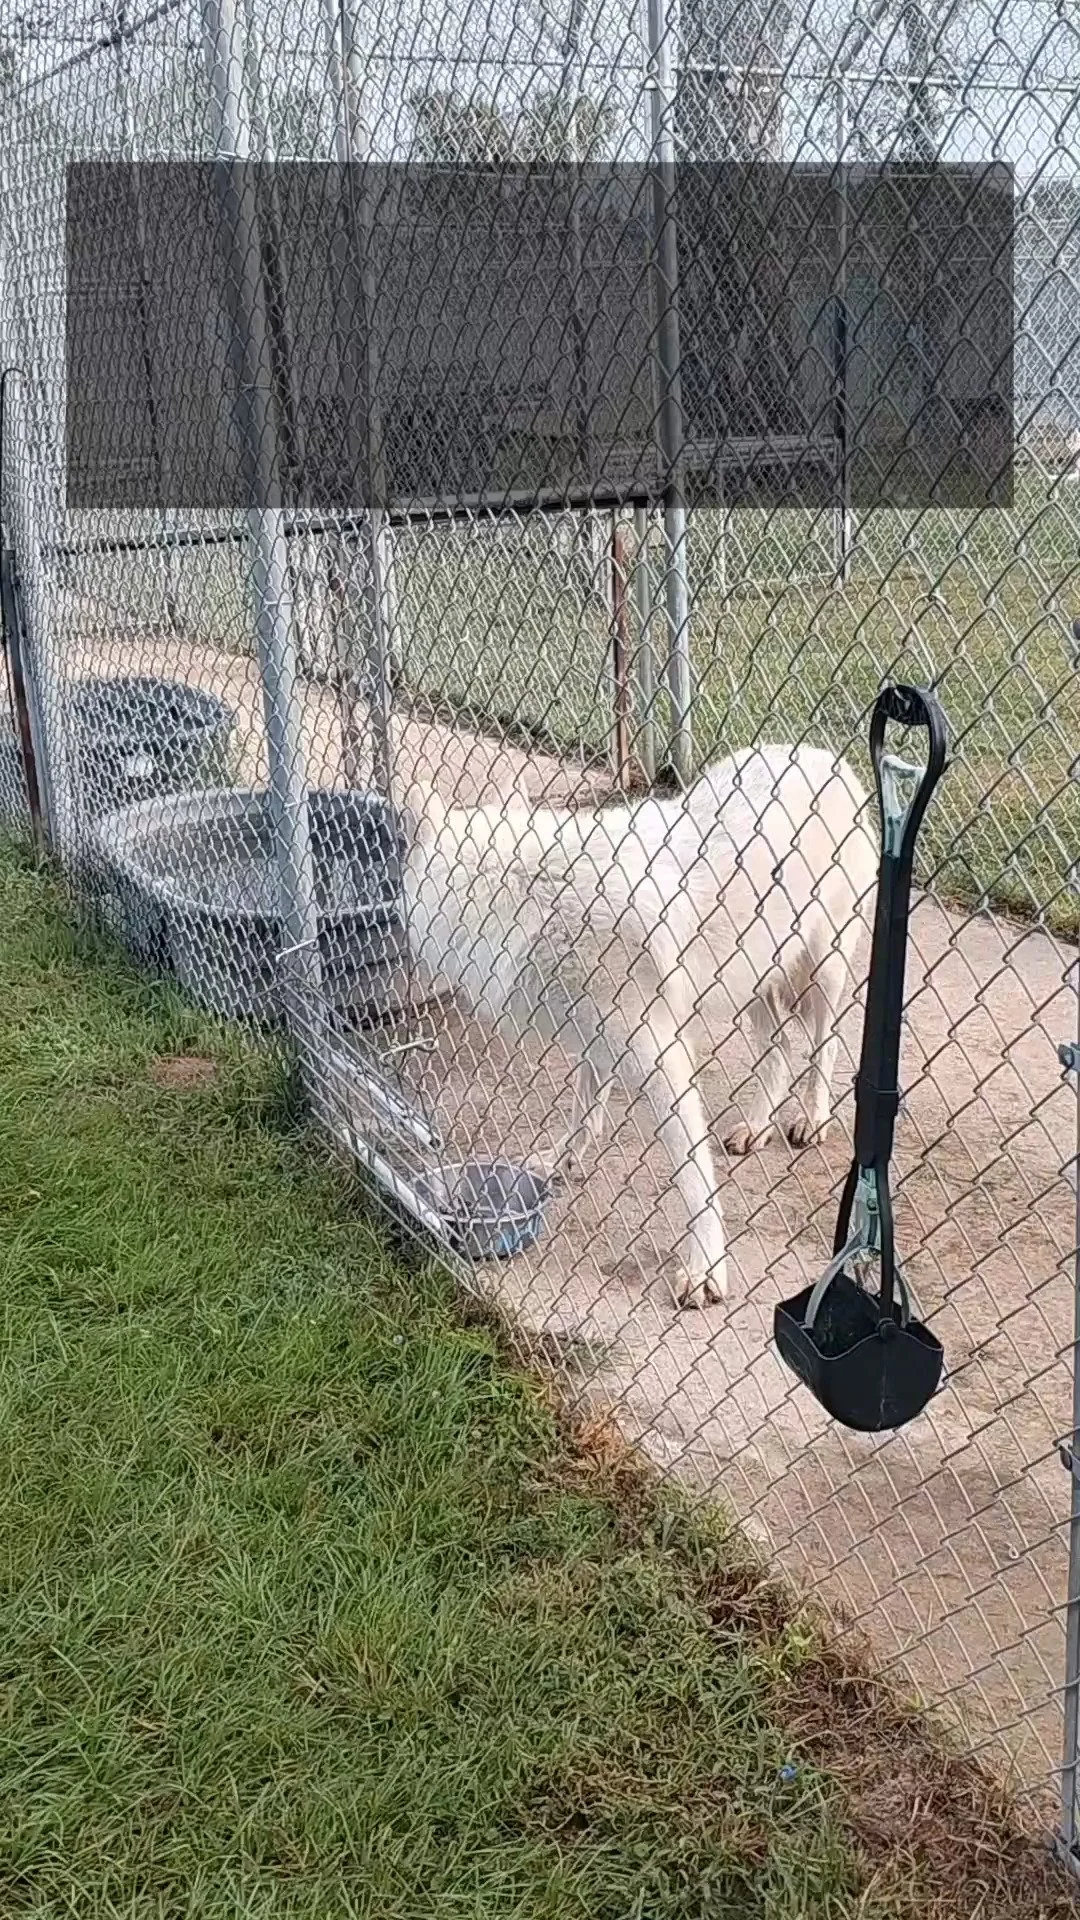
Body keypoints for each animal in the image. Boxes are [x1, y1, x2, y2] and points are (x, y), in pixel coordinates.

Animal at [400, 745, 877, 1308]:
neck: (527, 901)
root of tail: (825, 757)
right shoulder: (595, 1036)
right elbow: (584, 1113)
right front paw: (559, 1162)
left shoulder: (660, 1057)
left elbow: (693, 1175)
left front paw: (705, 1268)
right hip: (755, 980)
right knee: (778, 1047)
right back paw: (757, 1126)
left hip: (821, 972)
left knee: (826, 1043)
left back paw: (812, 1118)